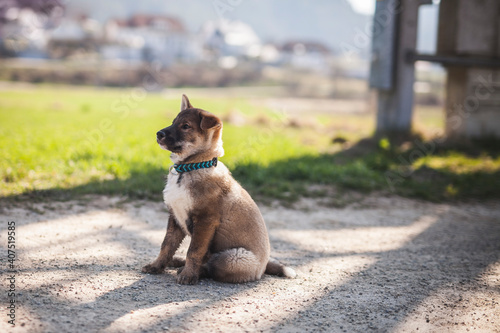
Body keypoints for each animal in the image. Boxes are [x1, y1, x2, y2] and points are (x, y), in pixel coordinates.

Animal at [141, 94, 294, 284]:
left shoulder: (205, 220)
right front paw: (156, 266)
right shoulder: (175, 217)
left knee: (211, 267)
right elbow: (166, 246)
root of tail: (264, 266)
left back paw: (190, 269)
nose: (159, 134)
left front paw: (188, 275)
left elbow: (194, 251)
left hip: (233, 258)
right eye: (173, 122)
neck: (190, 168)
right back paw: (176, 261)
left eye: (186, 126)